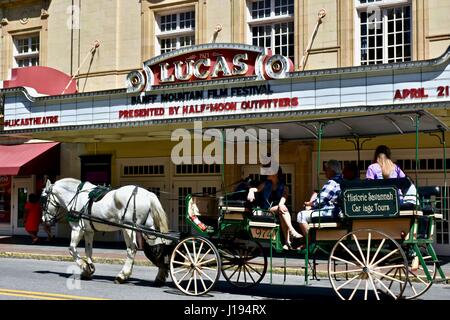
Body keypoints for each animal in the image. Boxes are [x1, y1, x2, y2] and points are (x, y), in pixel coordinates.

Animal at [40, 178, 172, 284]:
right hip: (149, 228)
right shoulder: (88, 231)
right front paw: (89, 269)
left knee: (132, 249)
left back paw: (122, 275)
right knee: (158, 246)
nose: (44, 219)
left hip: (128, 228)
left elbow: (72, 249)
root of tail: (148, 195)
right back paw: (160, 276)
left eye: (43, 199)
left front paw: (84, 266)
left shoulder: (77, 229)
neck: (76, 196)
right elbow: (88, 250)